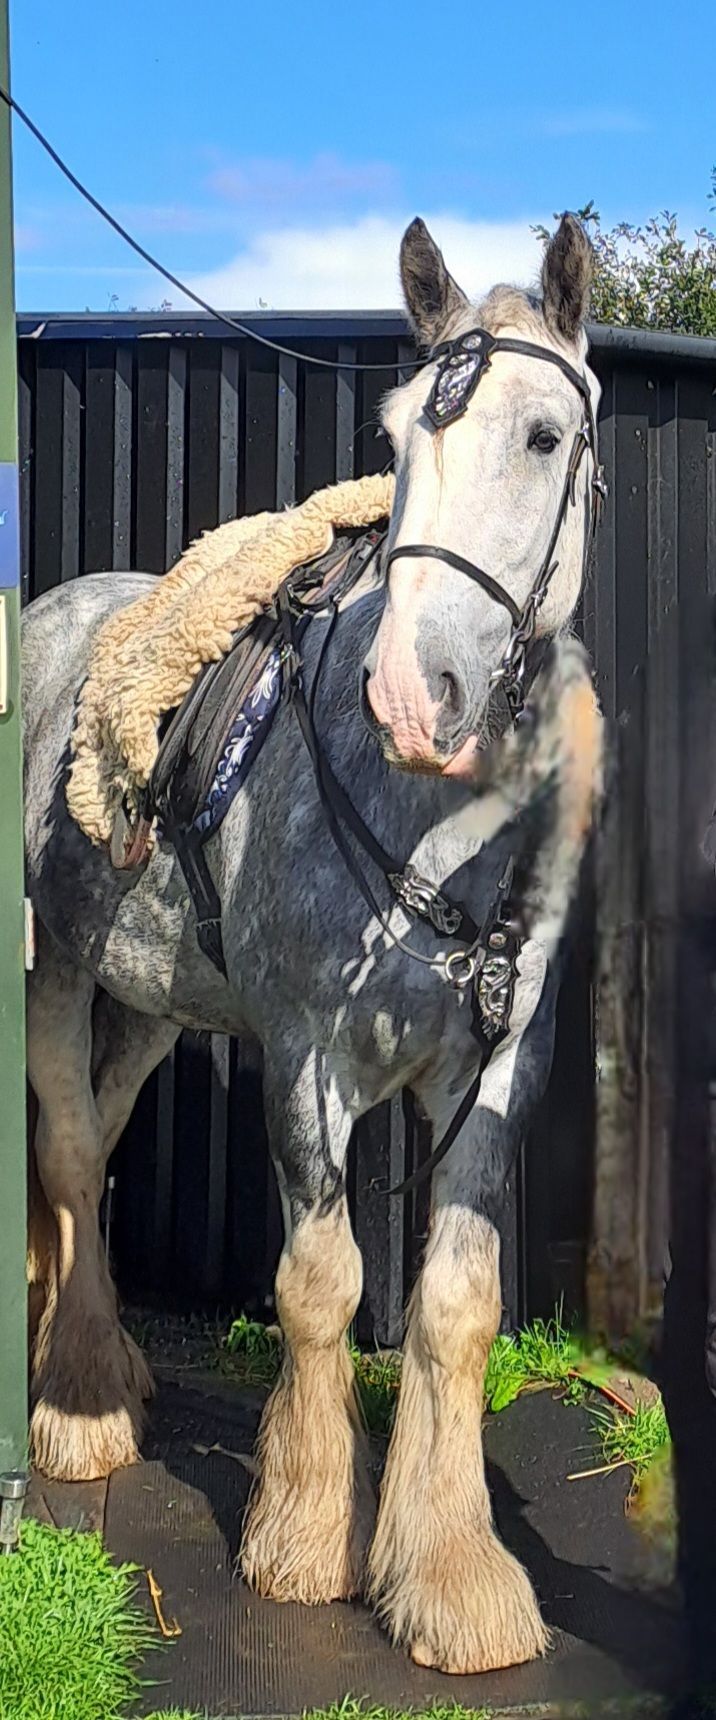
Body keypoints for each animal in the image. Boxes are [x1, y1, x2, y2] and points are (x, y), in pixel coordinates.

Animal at [21, 212, 604, 1675]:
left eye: (542, 438)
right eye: (396, 437)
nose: (412, 692)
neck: (429, 824)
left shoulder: (497, 1066)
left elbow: (455, 1301)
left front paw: (451, 1578)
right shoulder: (304, 1056)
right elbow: (322, 1285)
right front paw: (300, 1541)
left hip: (151, 1002)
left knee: (98, 1134)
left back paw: (99, 1360)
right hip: (52, 968)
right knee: (68, 1151)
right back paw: (80, 1405)